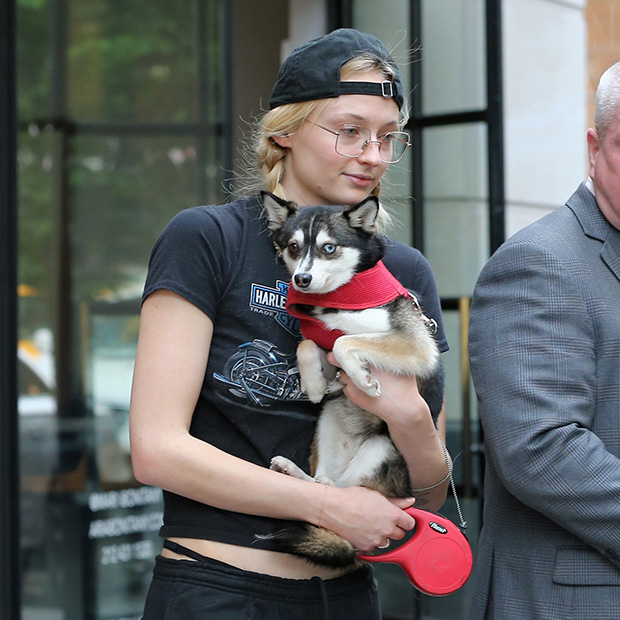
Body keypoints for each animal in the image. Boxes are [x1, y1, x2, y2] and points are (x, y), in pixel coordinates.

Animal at [260, 191, 444, 568]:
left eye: (329, 248)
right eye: (293, 247)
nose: (301, 279)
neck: (342, 296)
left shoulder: (416, 345)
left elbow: (345, 341)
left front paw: (361, 377)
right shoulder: (321, 334)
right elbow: (308, 343)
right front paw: (316, 384)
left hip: (382, 449)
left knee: (347, 495)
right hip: (328, 424)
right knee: (325, 486)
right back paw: (294, 472)